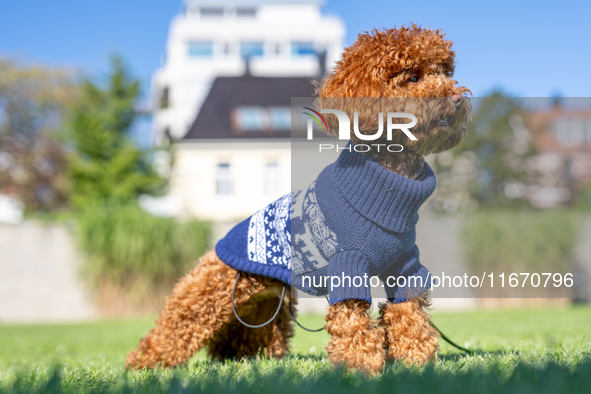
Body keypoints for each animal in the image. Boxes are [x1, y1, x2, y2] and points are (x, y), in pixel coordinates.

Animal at [126, 25, 472, 376]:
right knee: (175, 325)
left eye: (445, 72)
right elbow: (353, 325)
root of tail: (220, 245)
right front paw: (359, 367)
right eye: (413, 77)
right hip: (212, 291)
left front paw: (416, 362)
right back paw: (144, 362)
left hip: (266, 308)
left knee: (245, 342)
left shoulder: (405, 267)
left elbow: (410, 317)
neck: (387, 183)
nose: (458, 98)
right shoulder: (347, 265)